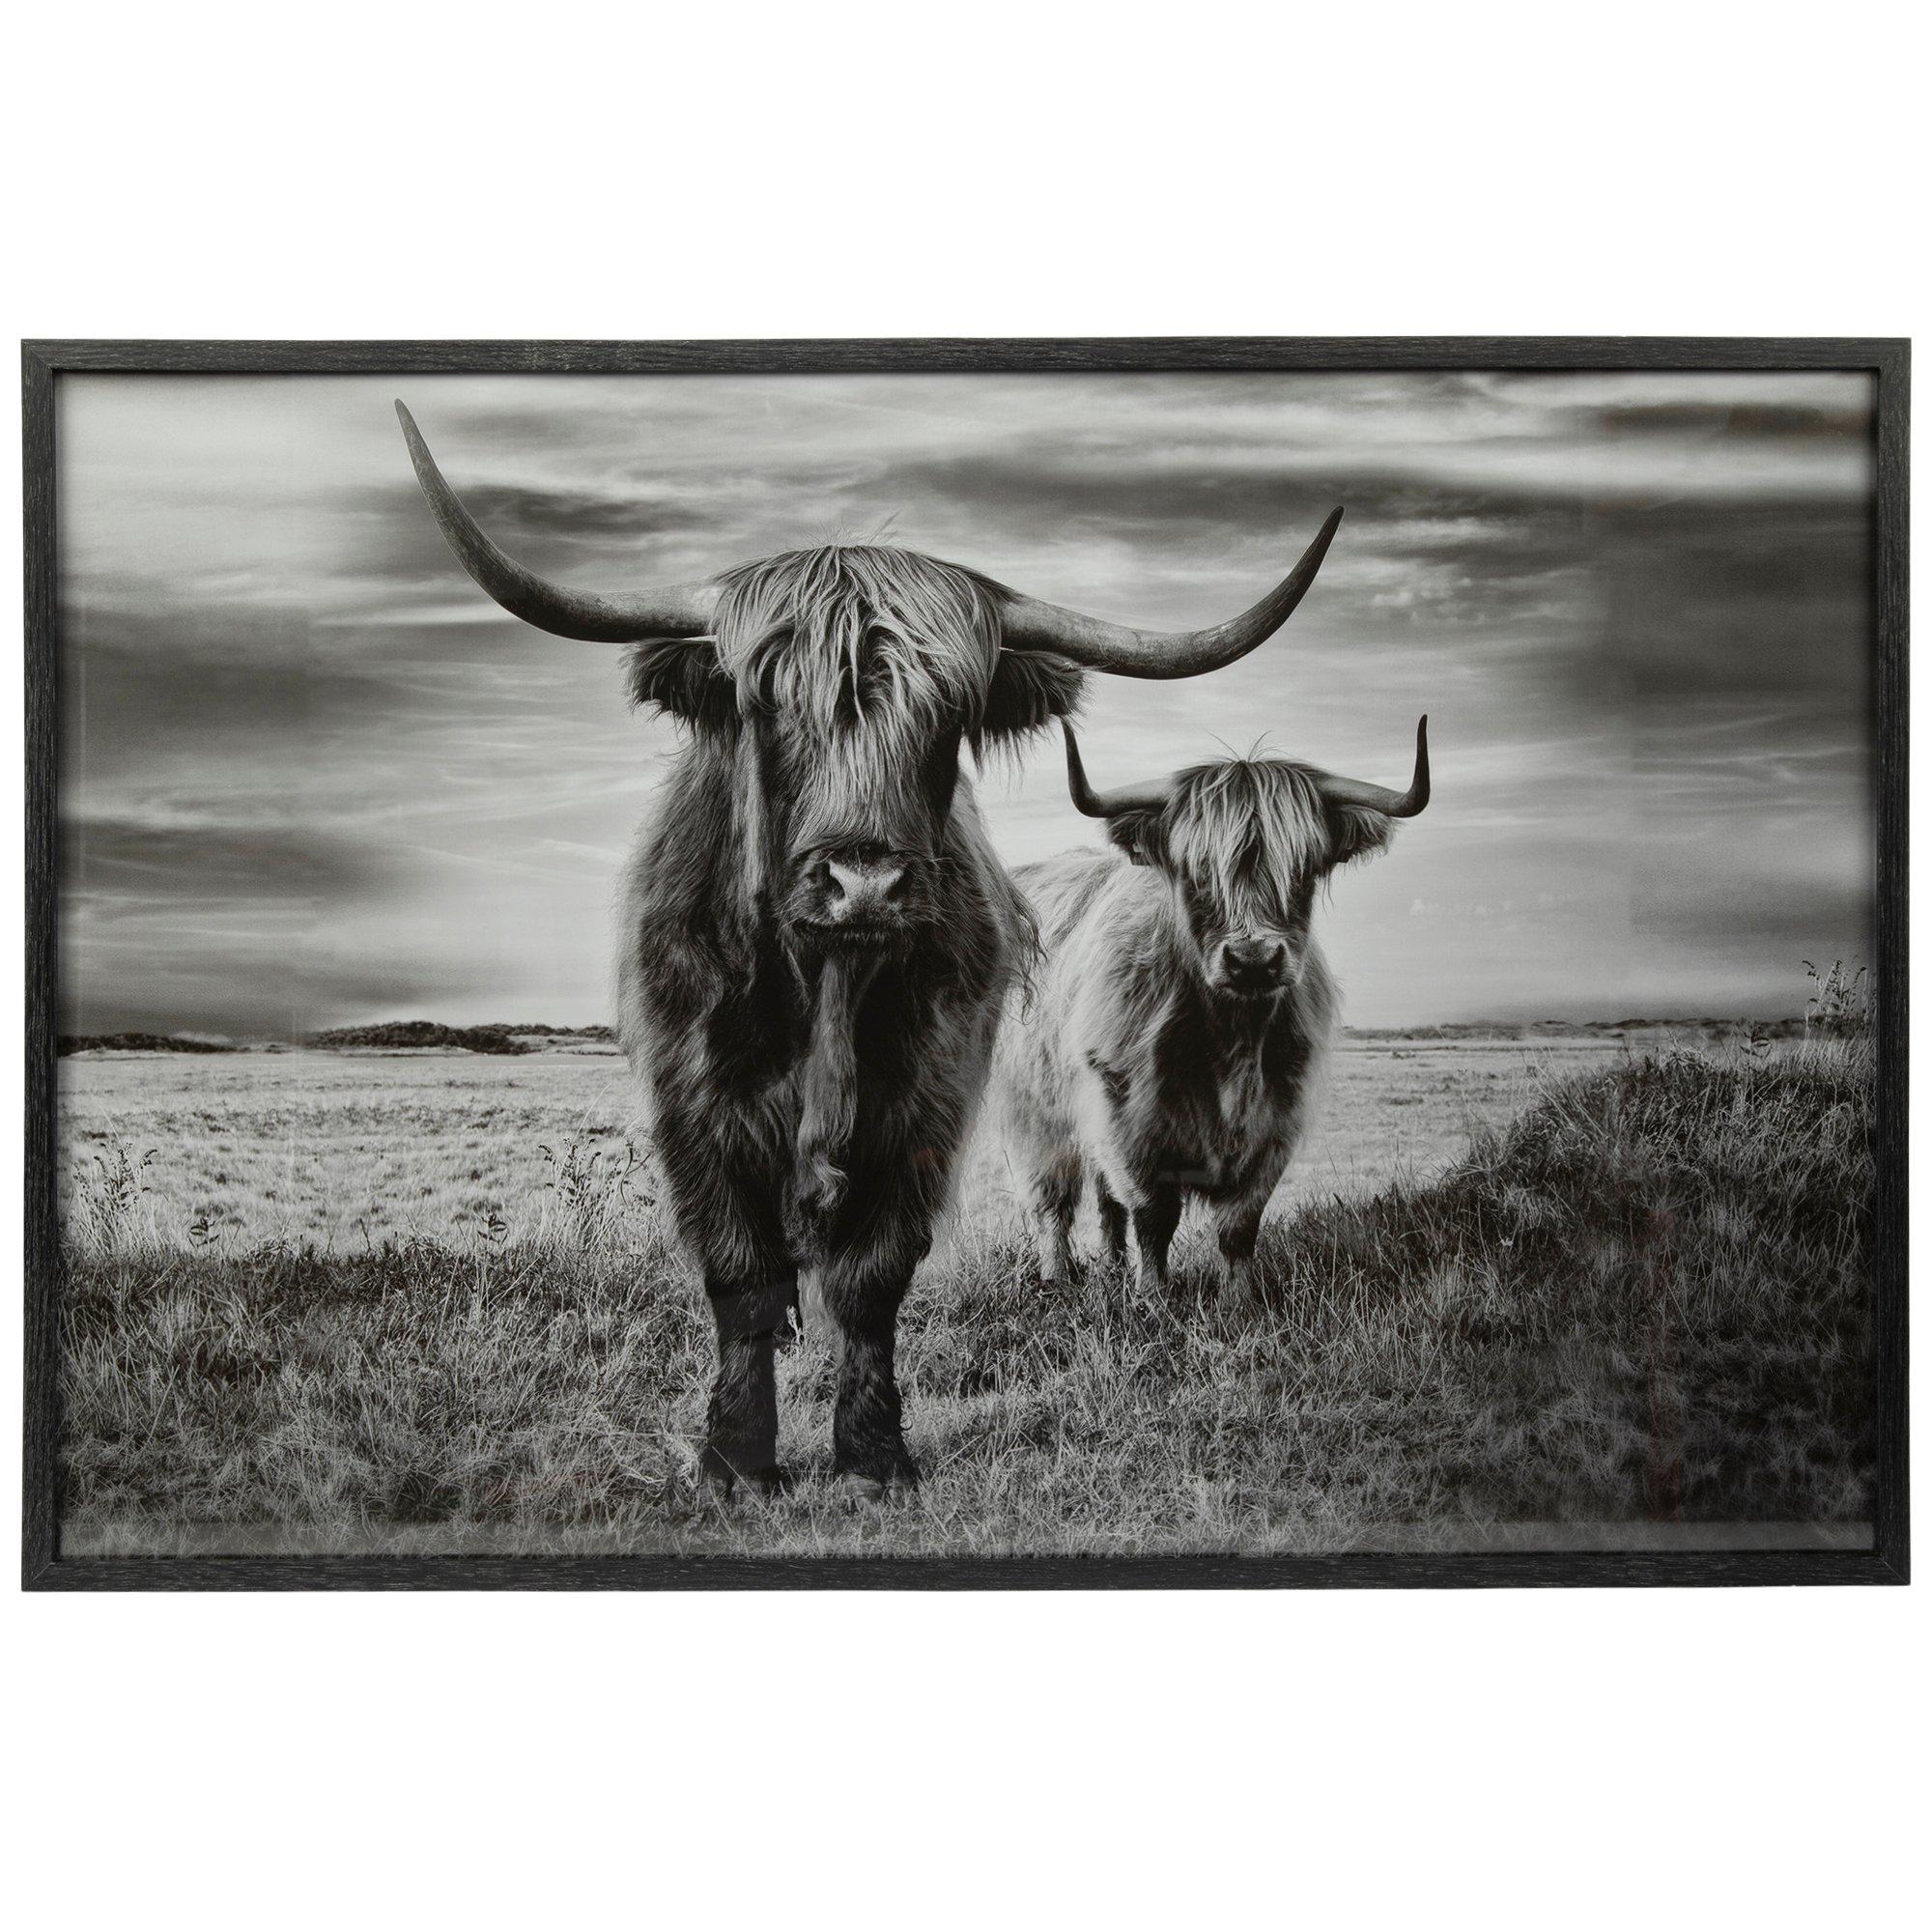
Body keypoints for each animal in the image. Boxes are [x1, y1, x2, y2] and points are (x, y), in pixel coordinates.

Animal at [396, 399, 1344, 1496]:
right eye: (768, 703)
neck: (827, 987)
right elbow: (742, 1274)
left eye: (949, 715)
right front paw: (735, 1459)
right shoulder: (694, 1105)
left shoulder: (927, 1100)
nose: (864, 884)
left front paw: (873, 1454)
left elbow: (874, 1276)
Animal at [994, 718, 1429, 1310]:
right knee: (1054, 1201)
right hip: (1035, 1111)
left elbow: (1238, 1224)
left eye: (1304, 871)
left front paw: (1239, 1301)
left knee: (1105, 1203)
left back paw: (1112, 1268)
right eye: (1196, 873)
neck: (1230, 1040)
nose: (1253, 961)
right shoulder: (1126, 1117)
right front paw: (1153, 1298)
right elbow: (1154, 1214)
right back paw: (1059, 1276)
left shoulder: (1276, 1120)